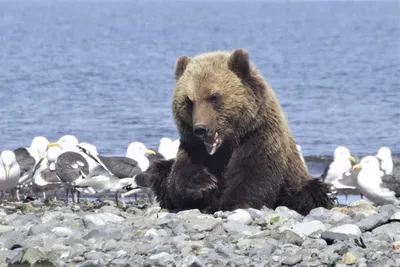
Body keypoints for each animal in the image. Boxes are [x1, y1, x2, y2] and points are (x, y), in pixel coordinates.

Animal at [138, 48, 334, 216]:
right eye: (189, 100)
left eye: (213, 97)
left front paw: (224, 203)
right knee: (160, 170)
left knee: (309, 193)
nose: (201, 128)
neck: (225, 146)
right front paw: (204, 184)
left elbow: (252, 178)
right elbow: (179, 178)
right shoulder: (192, 147)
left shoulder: (258, 138)